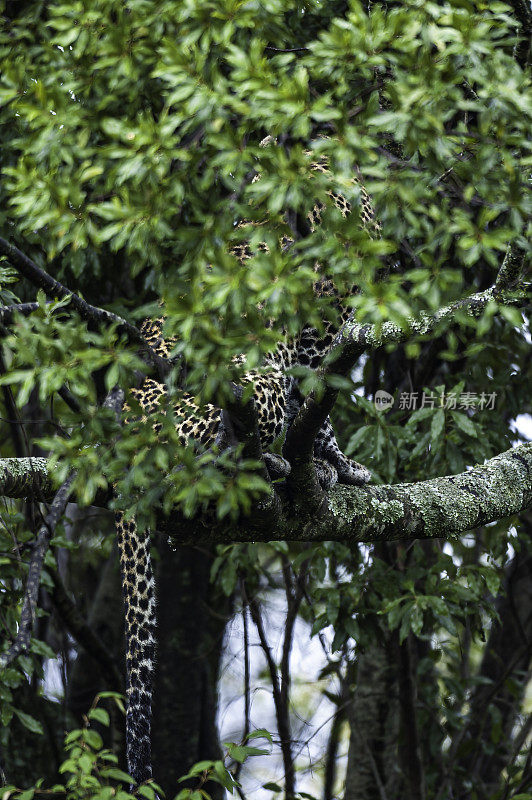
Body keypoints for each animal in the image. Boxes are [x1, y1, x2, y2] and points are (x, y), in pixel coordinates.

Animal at [115, 141, 378, 784]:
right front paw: (334, 464)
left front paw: (334, 467)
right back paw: (270, 468)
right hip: (242, 373)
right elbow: (318, 403)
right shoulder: (315, 328)